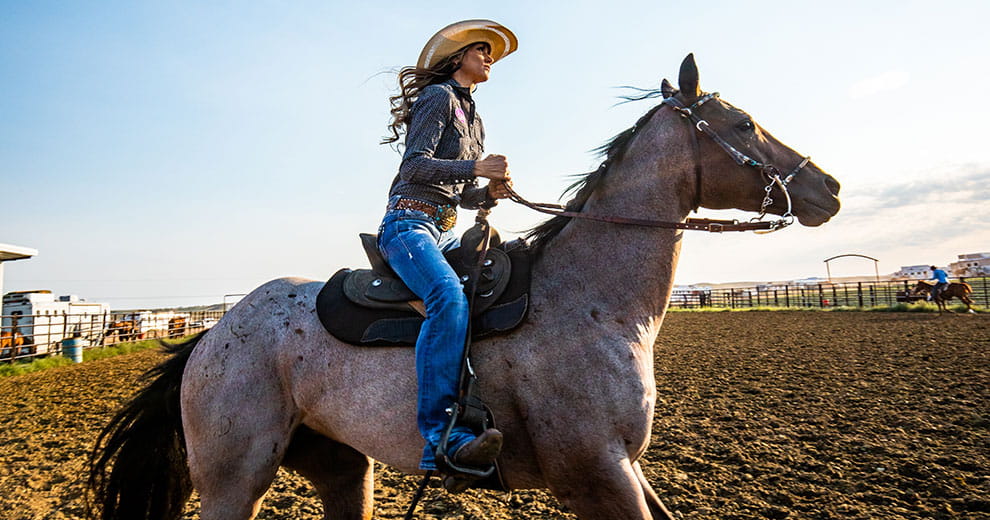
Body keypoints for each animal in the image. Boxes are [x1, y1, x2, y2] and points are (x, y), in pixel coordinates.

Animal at [87, 54, 841, 520]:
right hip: (232, 478)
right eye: (743, 123)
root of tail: (211, 336)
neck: (593, 301)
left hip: (341, 467)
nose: (828, 186)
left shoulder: (626, 469)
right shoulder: (595, 473)